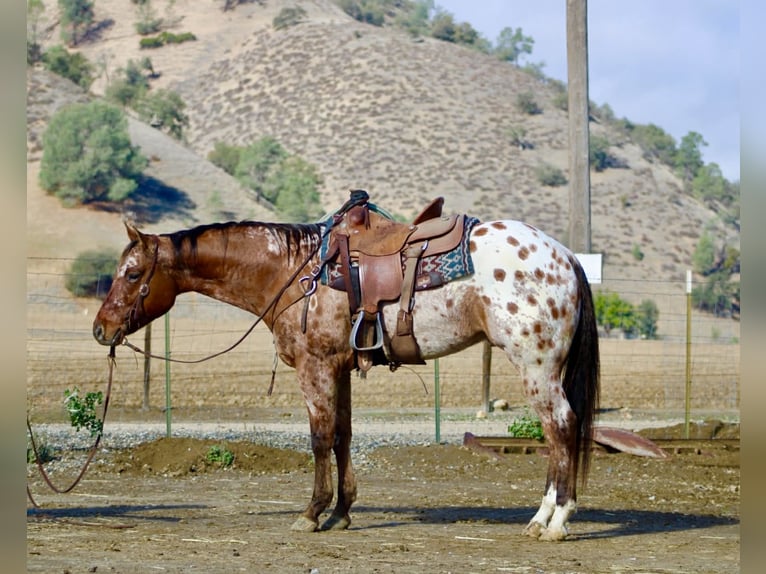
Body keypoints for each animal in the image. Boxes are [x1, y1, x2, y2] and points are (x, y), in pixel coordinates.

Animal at [92, 203, 599, 542]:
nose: (101, 329)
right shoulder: (339, 368)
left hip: (537, 366)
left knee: (561, 427)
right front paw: (341, 512)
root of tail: (566, 256)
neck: (292, 272)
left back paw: (552, 521)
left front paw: (311, 512)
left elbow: (319, 438)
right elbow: (342, 436)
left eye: (133, 273)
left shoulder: (314, 366)